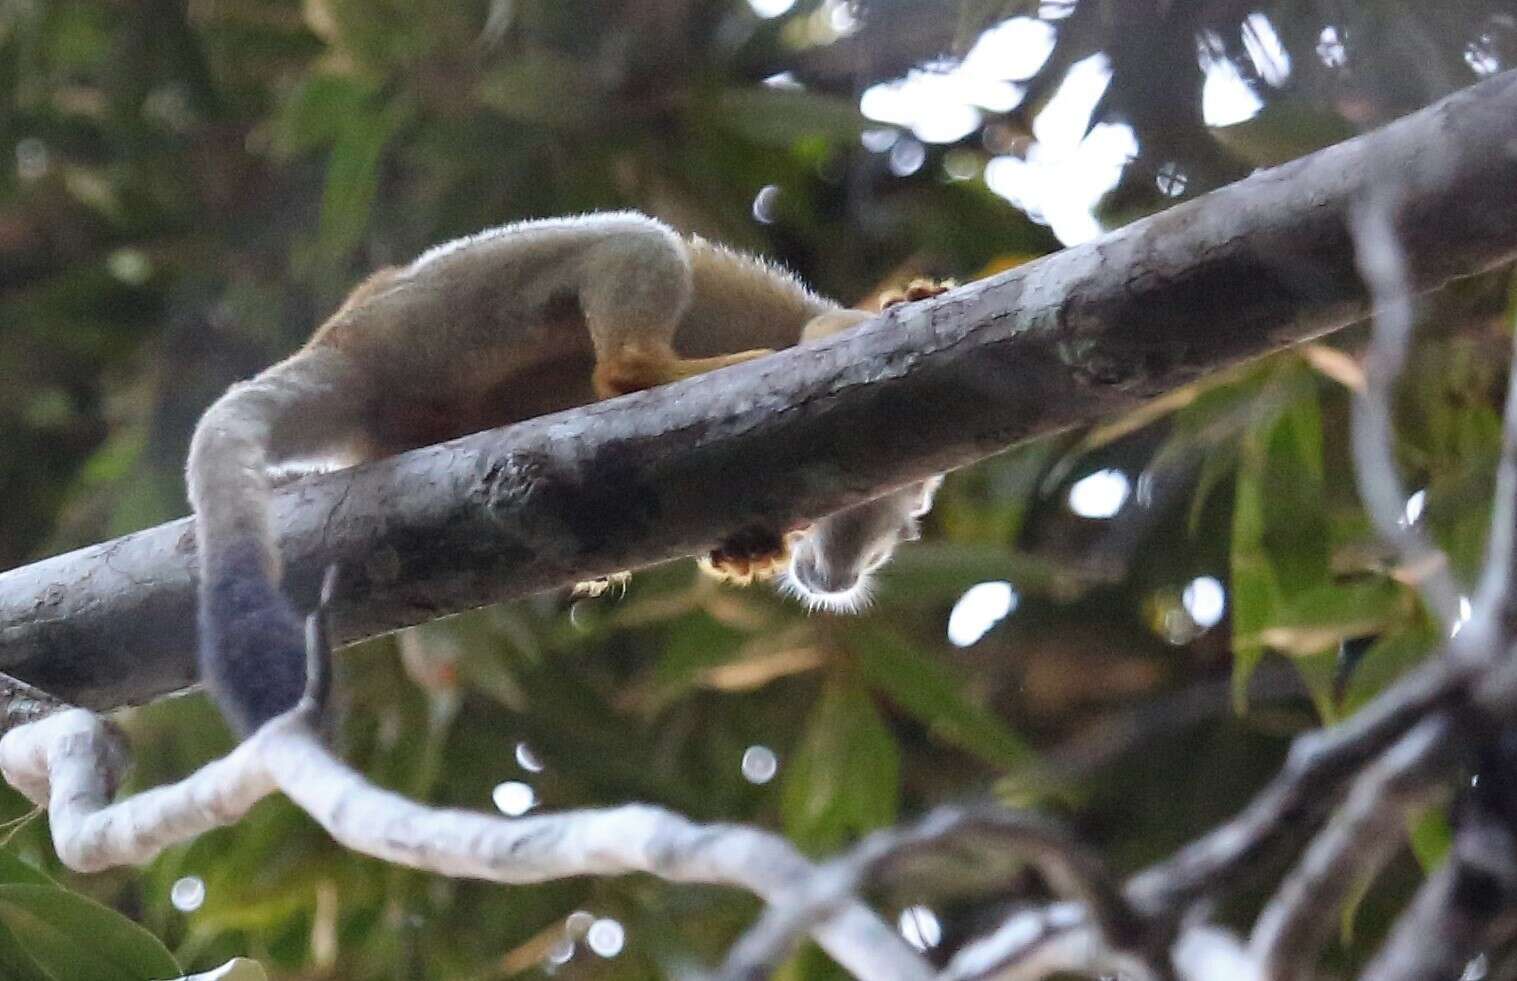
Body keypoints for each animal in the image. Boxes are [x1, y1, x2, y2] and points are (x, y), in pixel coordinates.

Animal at [186, 215, 946, 736]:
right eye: (880, 520)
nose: (844, 575)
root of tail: (346, 343)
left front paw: (749, 549)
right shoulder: (835, 331)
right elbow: (827, 336)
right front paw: (908, 299)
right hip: (452, 304)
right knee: (630, 240)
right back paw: (648, 371)